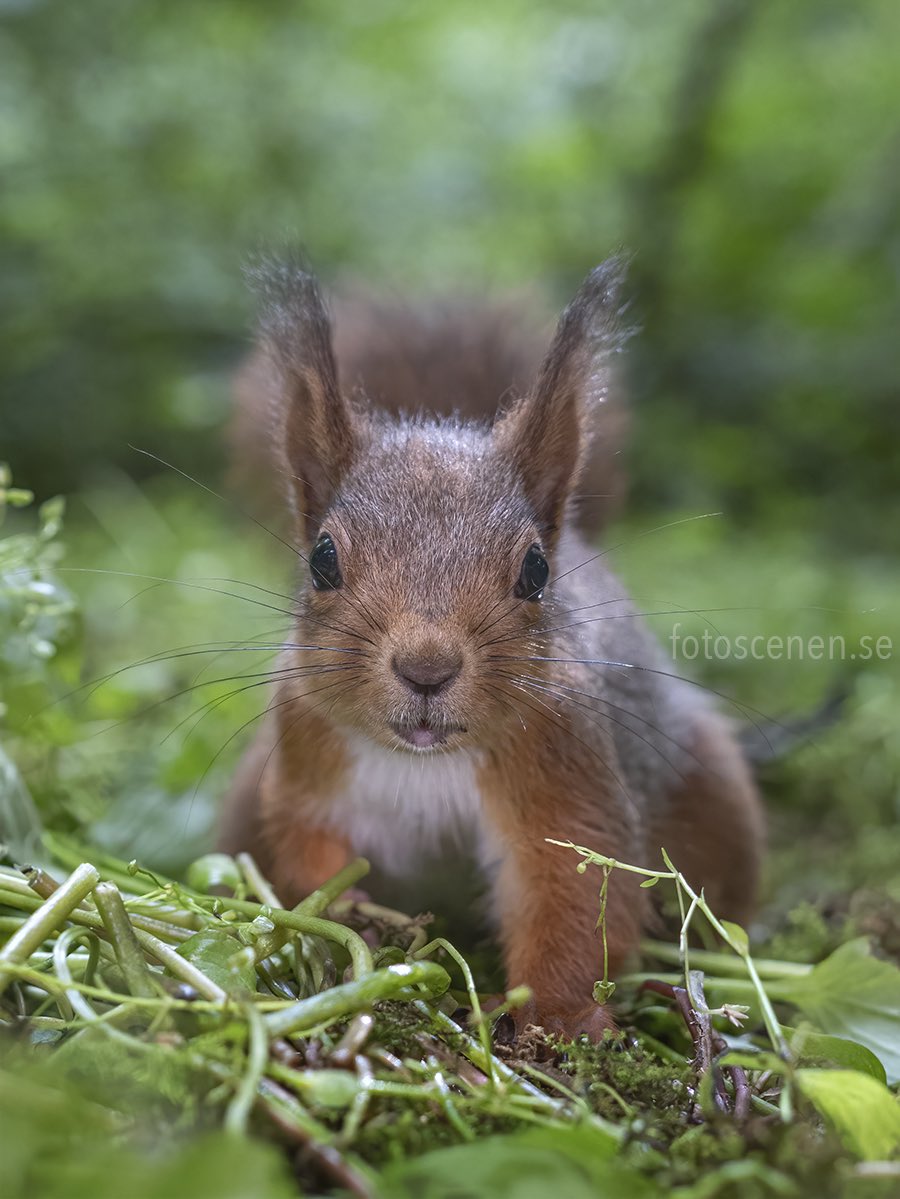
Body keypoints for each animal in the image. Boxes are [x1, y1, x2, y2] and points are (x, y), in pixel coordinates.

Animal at [219, 254, 765, 1039]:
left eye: (535, 570)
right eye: (322, 560)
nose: (427, 668)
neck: (426, 761)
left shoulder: (569, 774)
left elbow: (572, 896)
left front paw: (557, 1026)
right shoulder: (305, 763)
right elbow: (307, 854)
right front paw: (353, 924)